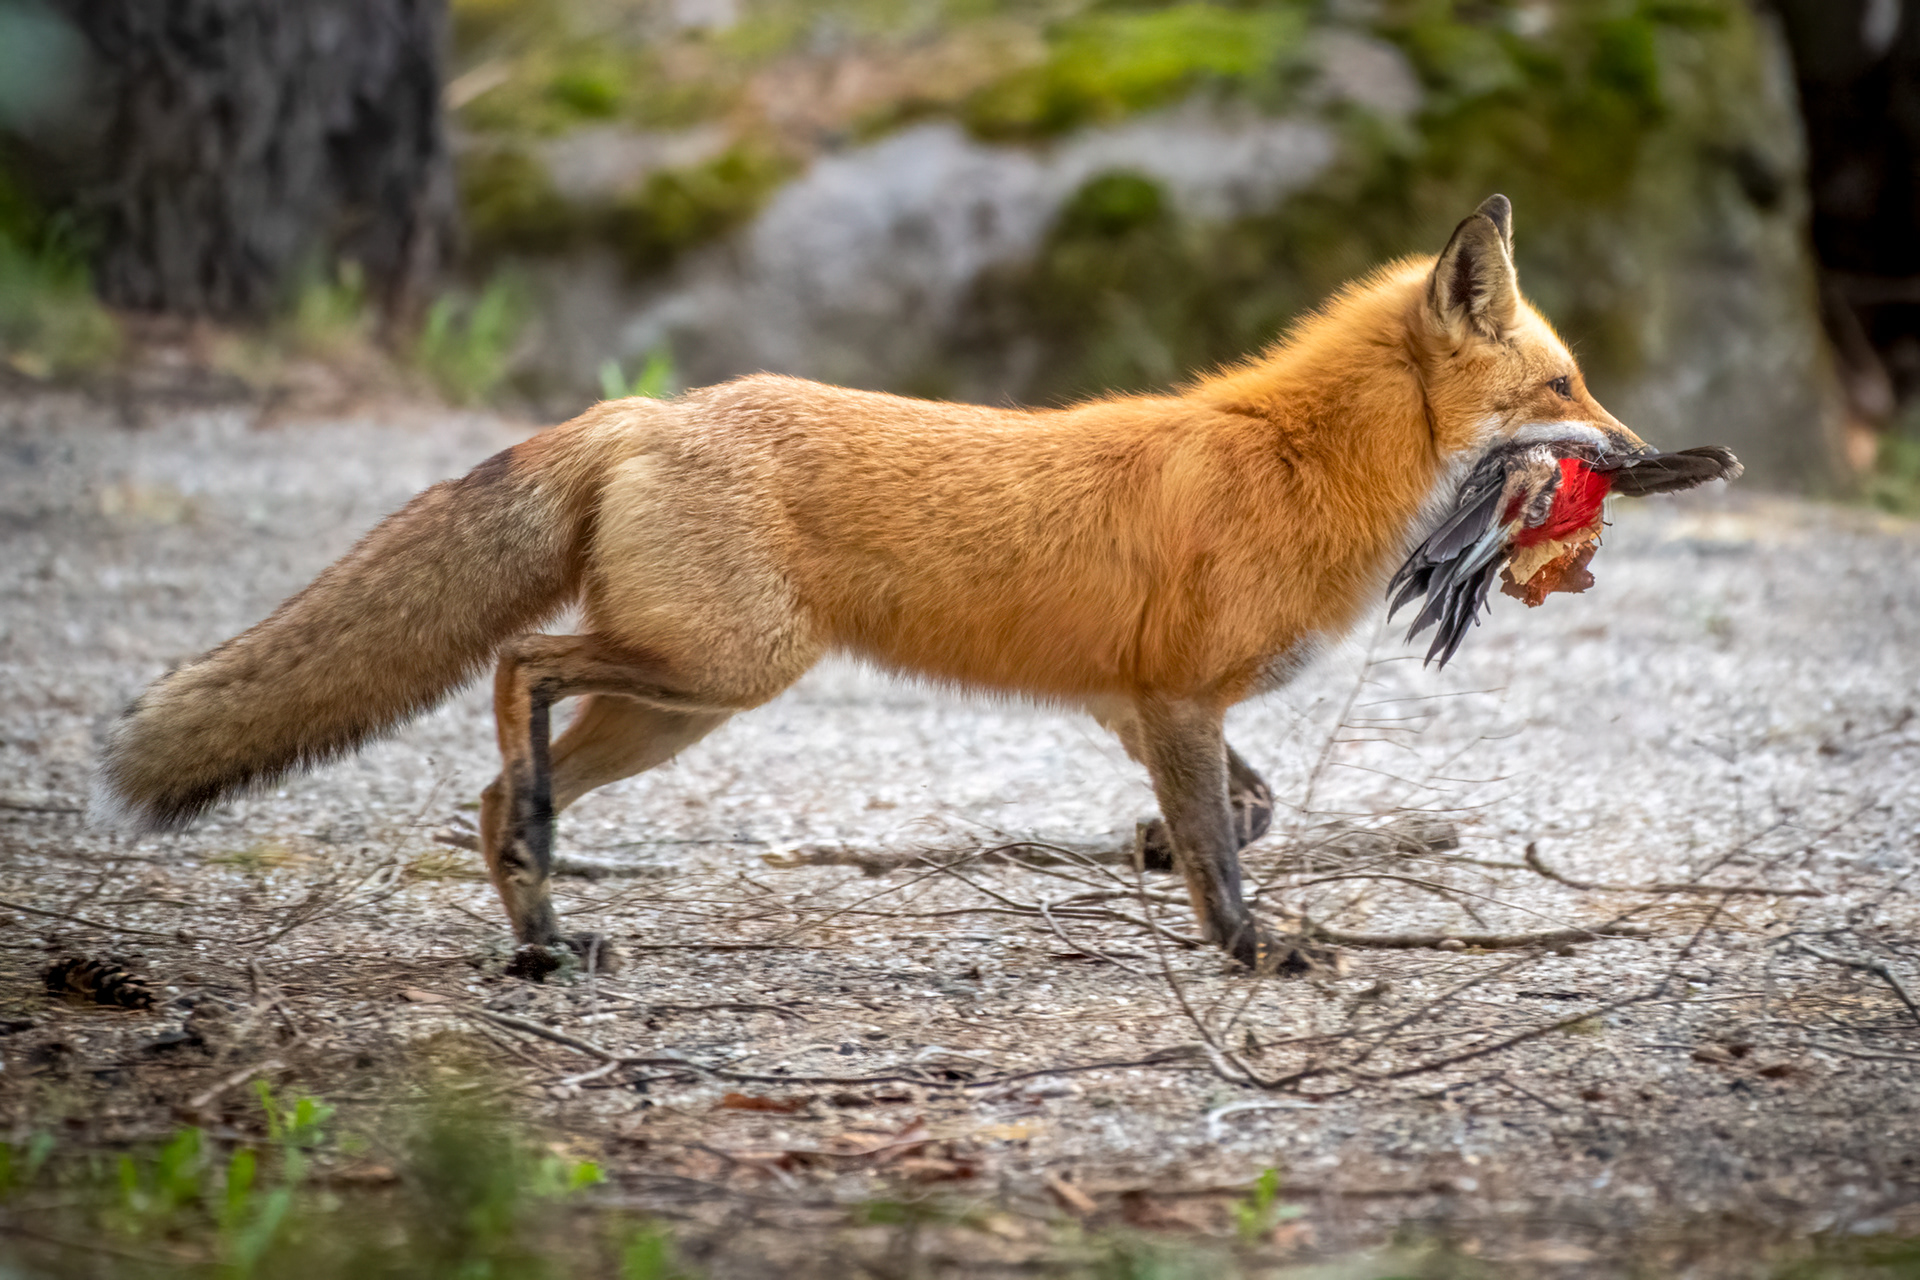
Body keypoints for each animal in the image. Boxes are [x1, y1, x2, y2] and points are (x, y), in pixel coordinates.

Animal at [92, 194, 1724, 976]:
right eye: (1566, 387)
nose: (1655, 454)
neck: (1297, 460)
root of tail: (646, 409)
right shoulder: (1172, 697)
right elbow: (1225, 849)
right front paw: (1253, 950)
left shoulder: (1137, 701)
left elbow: (1238, 812)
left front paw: (1152, 856)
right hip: (720, 670)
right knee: (520, 670)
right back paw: (543, 865)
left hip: (680, 706)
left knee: (494, 789)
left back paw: (544, 937)